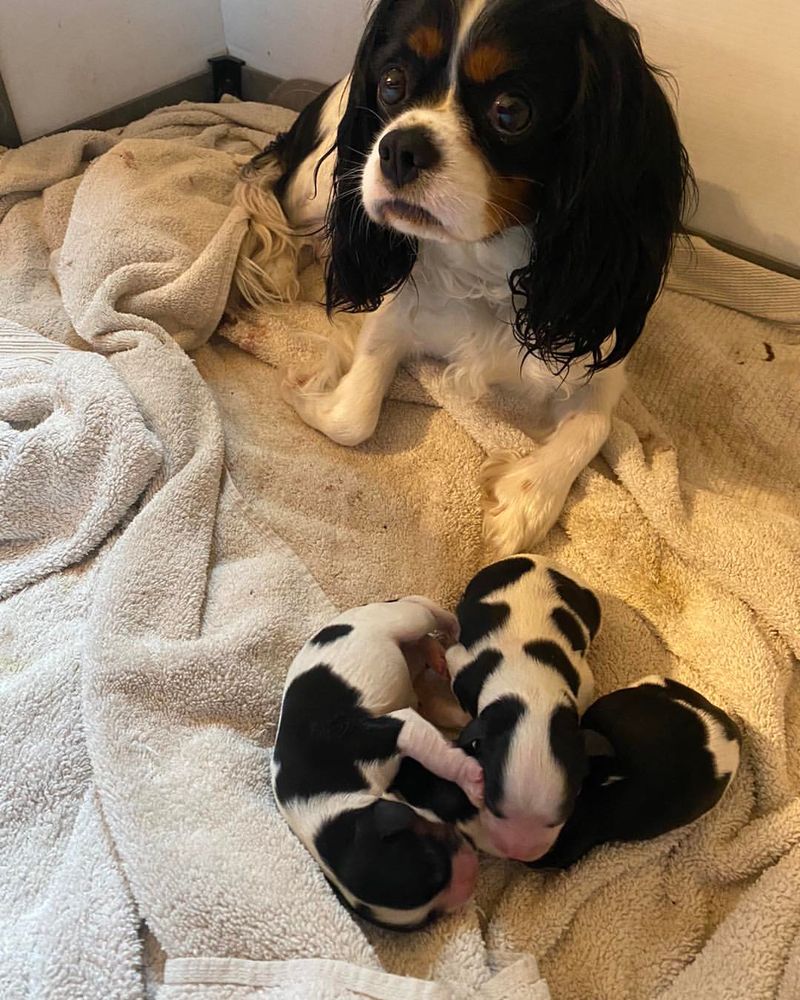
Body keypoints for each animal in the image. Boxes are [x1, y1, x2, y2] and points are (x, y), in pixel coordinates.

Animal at [236, 0, 692, 556]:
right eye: (391, 84)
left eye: (511, 111)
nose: (398, 148)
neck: (487, 263)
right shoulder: (394, 314)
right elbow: (352, 419)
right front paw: (308, 390)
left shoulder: (596, 356)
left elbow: (594, 426)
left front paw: (523, 503)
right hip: (319, 190)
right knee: (283, 206)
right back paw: (280, 269)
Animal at [272, 592, 482, 928]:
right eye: (429, 918)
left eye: (434, 868)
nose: (472, 881)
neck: (333, 807)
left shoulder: (391, 730)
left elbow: (439, 757)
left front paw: (473, 779)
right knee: (420, 645)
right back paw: (434, 654)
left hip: (397, 619)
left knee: (420, 608)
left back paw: (450, 626)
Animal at [444, 552, 600, 864]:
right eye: (492, 805)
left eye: (561, 816)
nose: (519, 853)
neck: (532, 689)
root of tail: (536, 558)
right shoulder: (459, 662)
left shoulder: (584, 681)